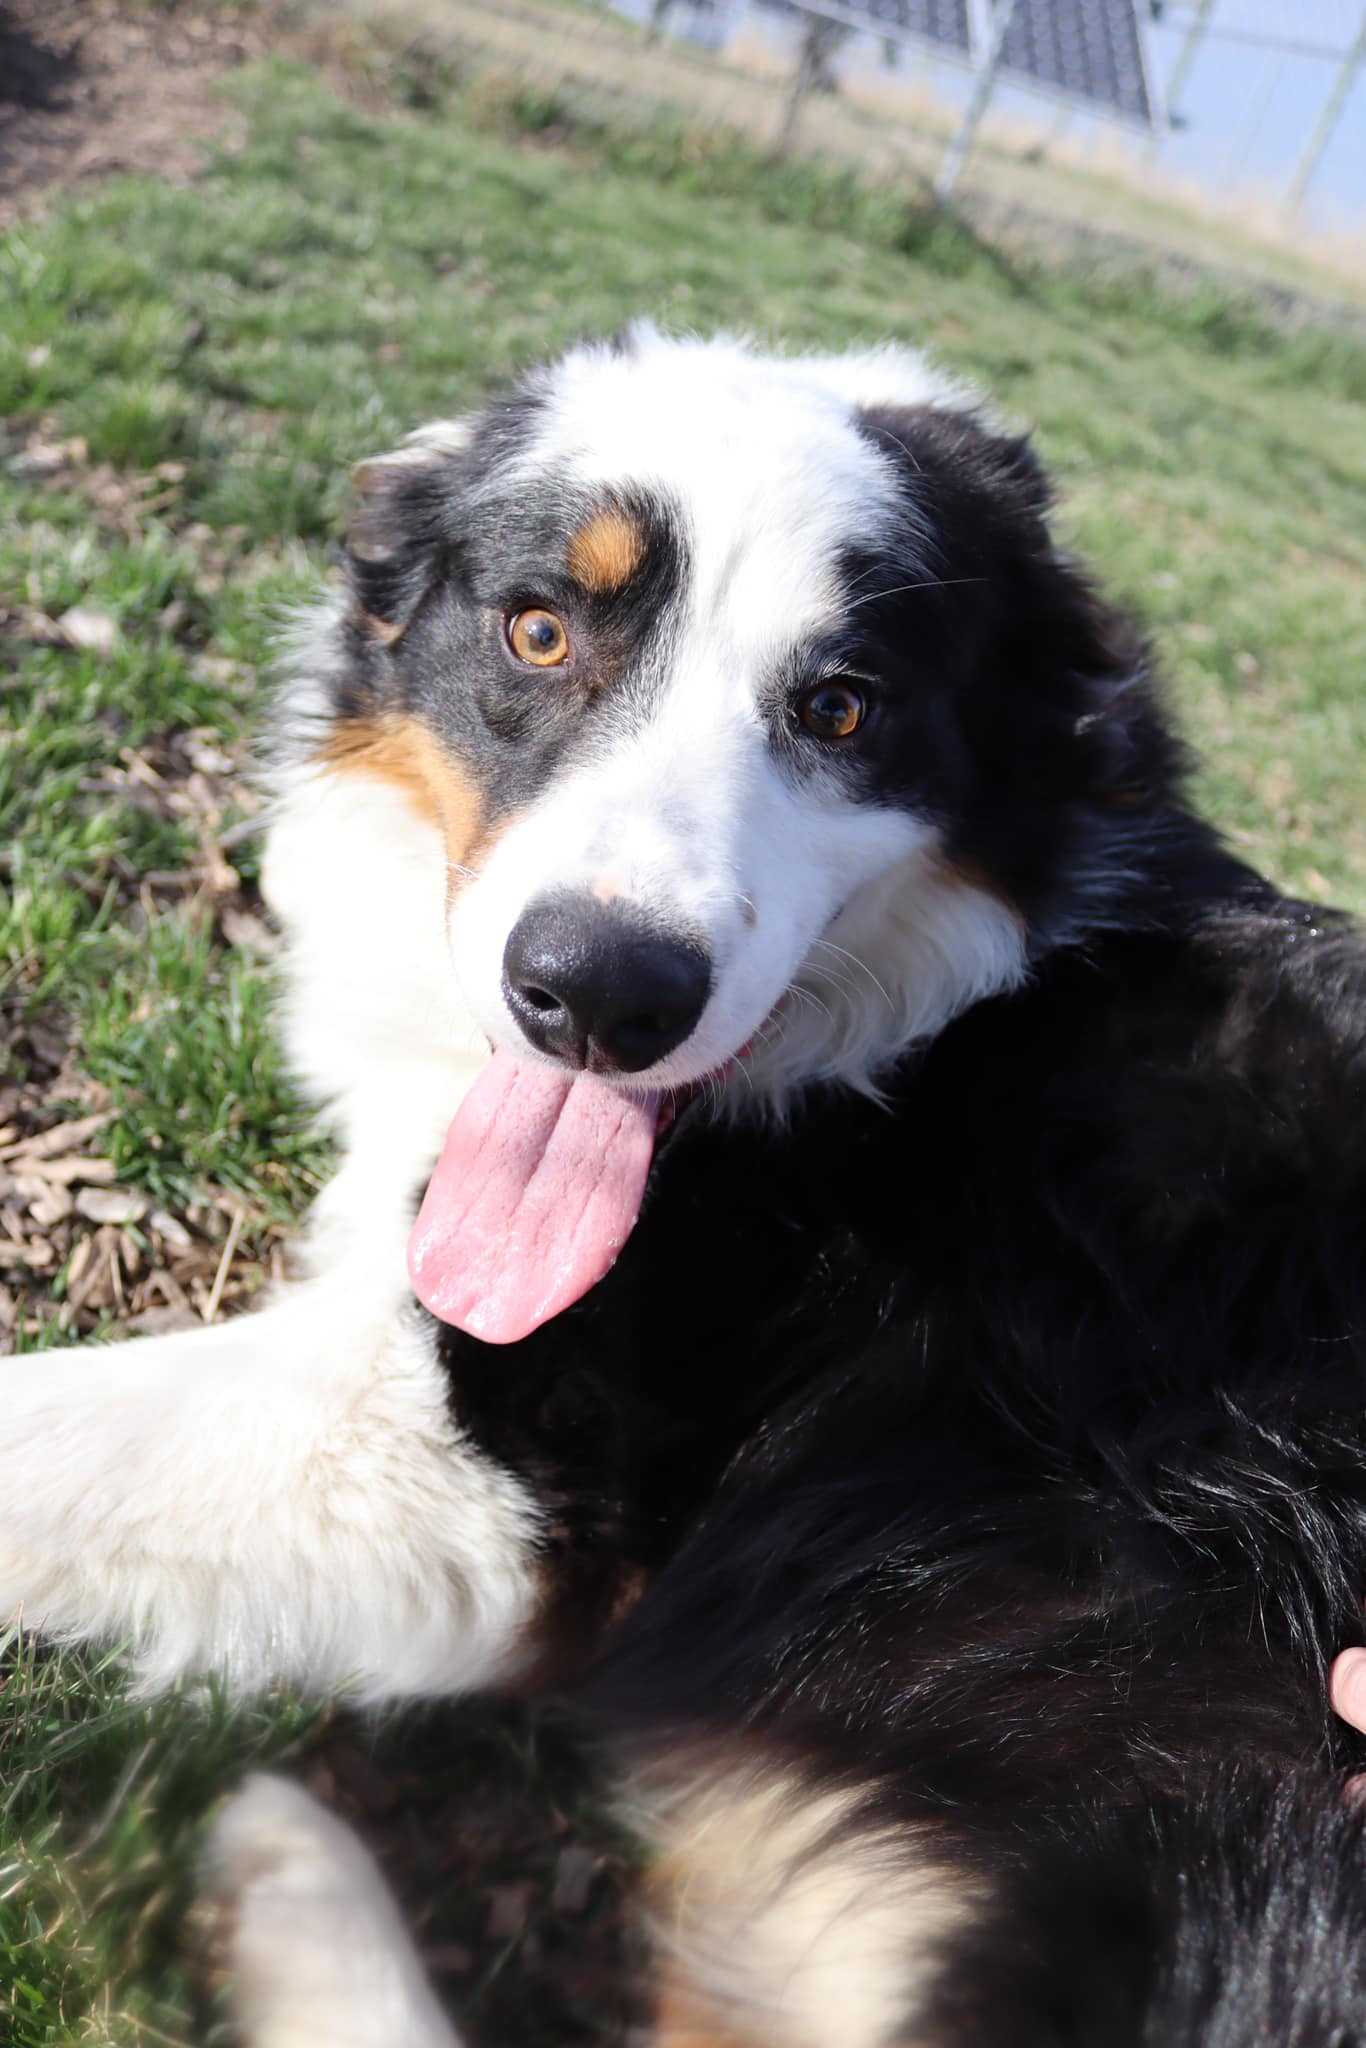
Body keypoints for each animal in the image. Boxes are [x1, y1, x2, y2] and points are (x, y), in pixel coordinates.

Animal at [2, 327, 1366, 2039]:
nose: (599, 997)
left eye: (842, 708)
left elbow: (41, 1433)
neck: (915, 1048)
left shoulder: (494, 1476)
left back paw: (287, 1876)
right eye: (537, 630)